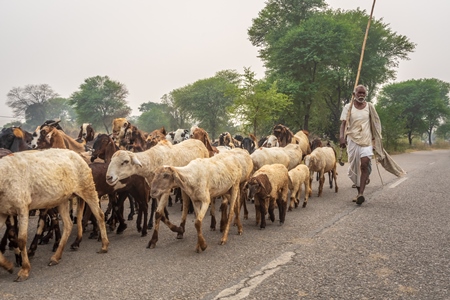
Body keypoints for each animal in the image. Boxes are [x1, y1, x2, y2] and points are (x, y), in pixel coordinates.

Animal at [0, 148, 108, 282]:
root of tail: (77, 154)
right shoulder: (3, 212)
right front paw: (8, 266)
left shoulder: (22, 208)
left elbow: (21, 240)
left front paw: (24, 270)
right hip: (62, 200)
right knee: (68, 224)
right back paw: (56, 257)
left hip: (88, 188)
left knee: (99, 215)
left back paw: (104, 245)